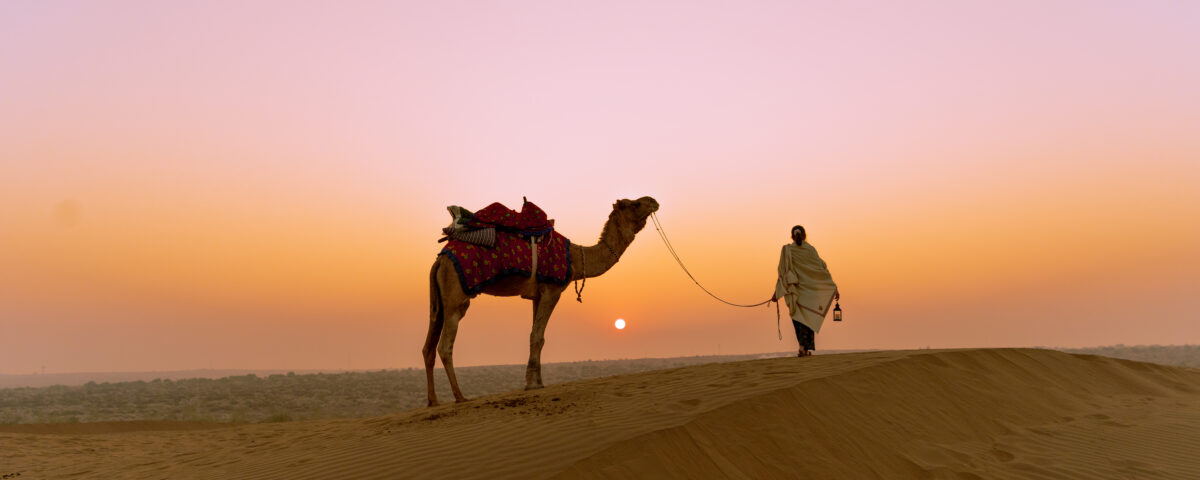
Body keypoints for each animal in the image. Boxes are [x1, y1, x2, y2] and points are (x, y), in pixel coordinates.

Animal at [423, 196, 659, 406]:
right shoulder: (552, 290)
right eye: (634, 204)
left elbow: (535, 335)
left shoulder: (537, 295)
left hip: (439, 302)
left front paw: (536, 381)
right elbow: (538, 337)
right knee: (445, 345)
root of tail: (439, 260)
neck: (574, 258)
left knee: (428, 346)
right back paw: (460, 397)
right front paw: (533, 384)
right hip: (456, 297)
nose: (654, 201)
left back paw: (433, 401)